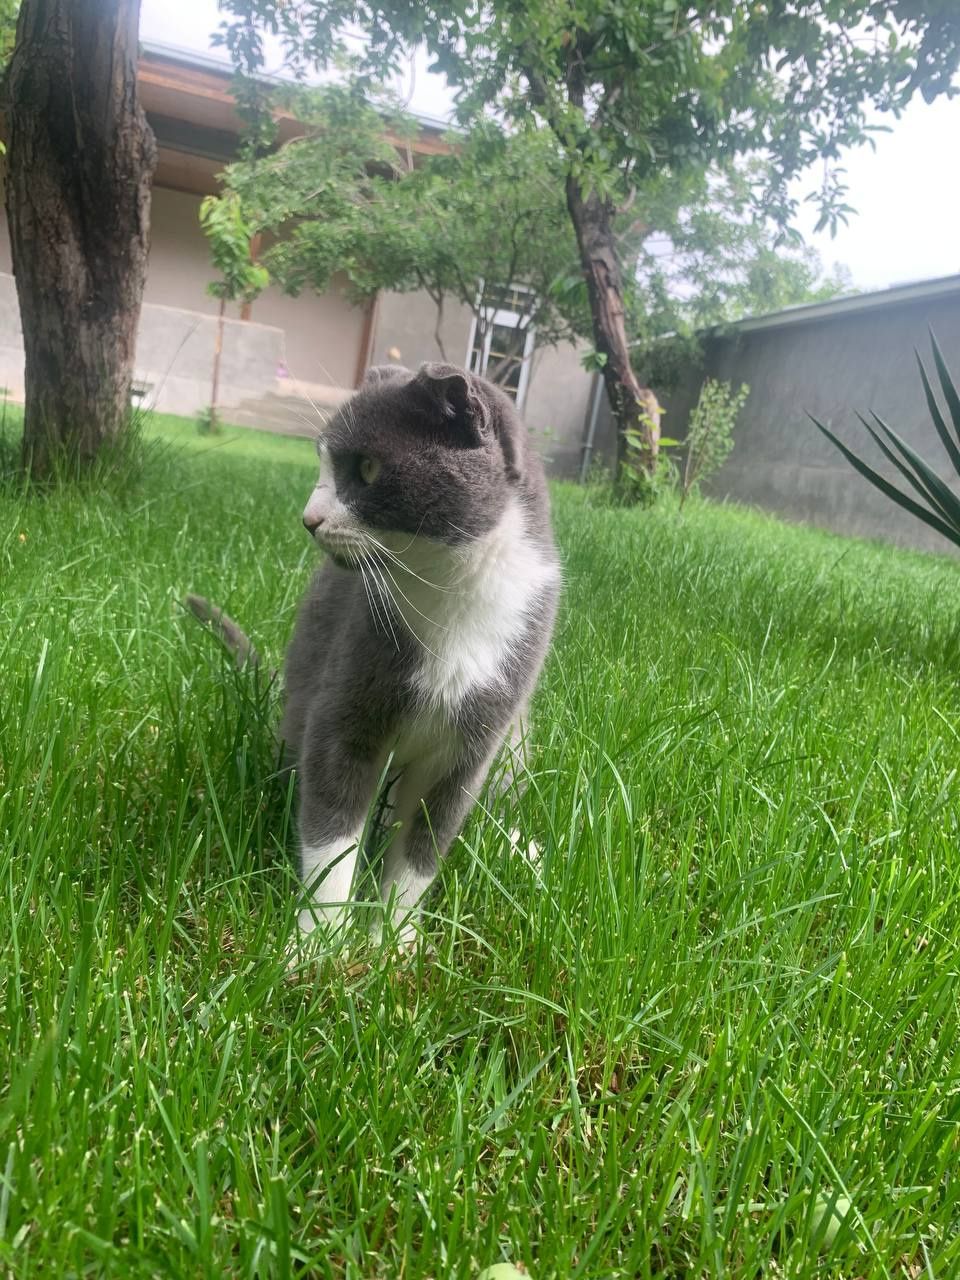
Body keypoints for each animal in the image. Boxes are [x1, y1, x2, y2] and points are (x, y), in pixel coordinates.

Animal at [189, 366, 560, 947]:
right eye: (321, 462)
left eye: (366, 467)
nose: (308, 518)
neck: (450, 595)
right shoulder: (347, 699)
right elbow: (332, 833)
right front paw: (319, 945)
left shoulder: (470, 746)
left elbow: (424, 850)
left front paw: (394, 943)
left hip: (514, 744)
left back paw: (521, 849)